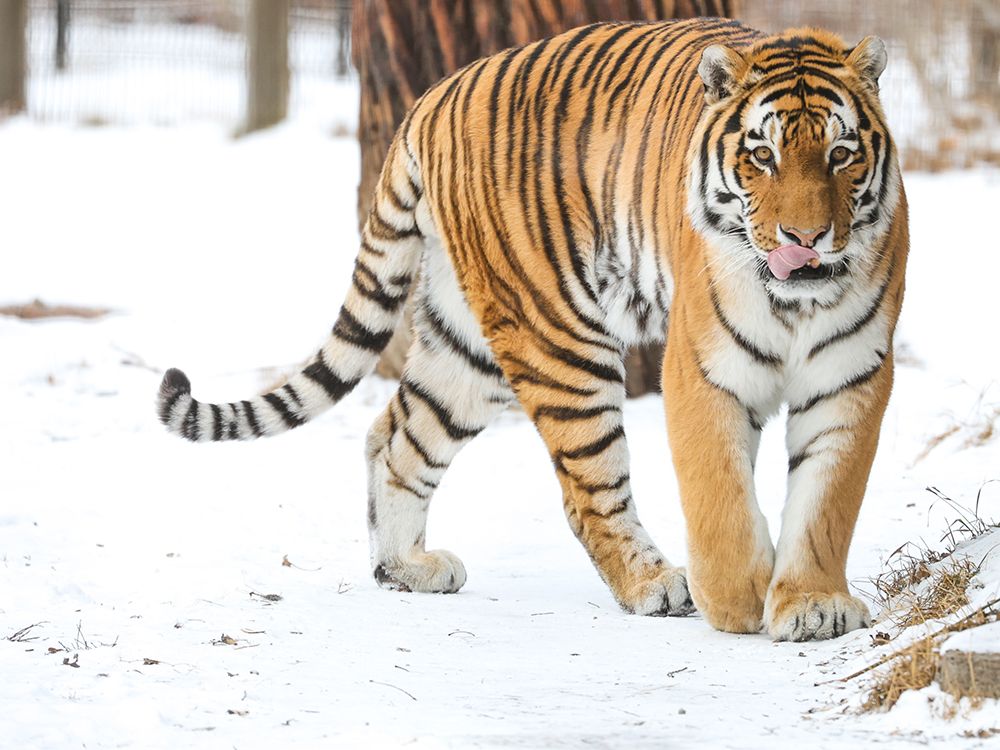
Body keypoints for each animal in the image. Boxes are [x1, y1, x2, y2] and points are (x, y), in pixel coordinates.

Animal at [156, 17, 908, 644]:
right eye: (763, 156)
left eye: (840, 155)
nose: (804, 239)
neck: (795, 303)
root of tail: (432, 97)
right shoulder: (702, 369)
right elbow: (719, 494)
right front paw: (737, 602)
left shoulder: (852, 376)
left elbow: (827, 501)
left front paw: (812, 604)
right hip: (557, 338)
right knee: (588, 490)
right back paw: (654, 583)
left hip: (468, 350)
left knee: (397, 436)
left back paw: (407, 568)